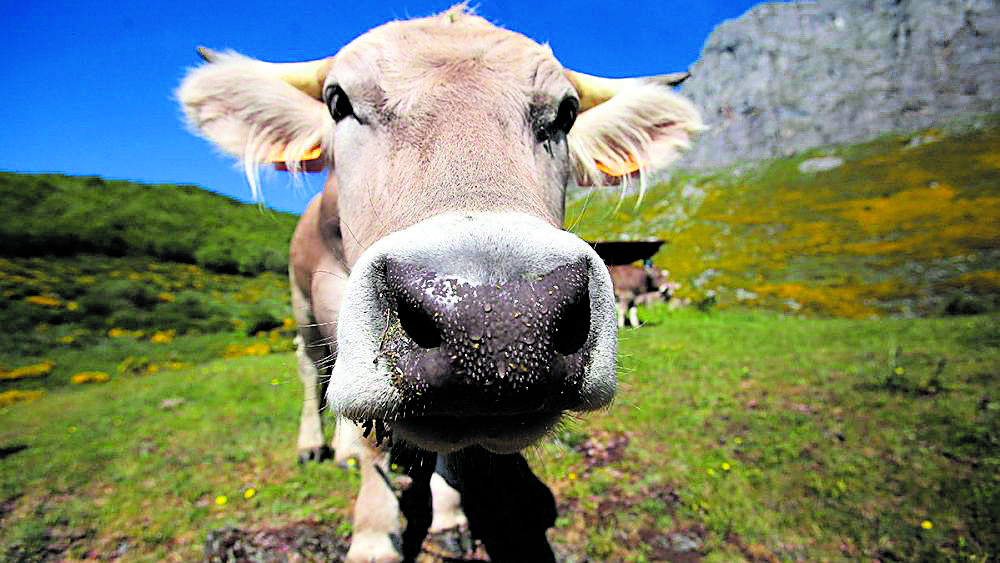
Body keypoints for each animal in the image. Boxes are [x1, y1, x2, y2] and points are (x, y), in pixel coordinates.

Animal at [176, 5, 700, 563]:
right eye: (338, 102)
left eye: (566, 114)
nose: (497, 320)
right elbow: (371, 438)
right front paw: (373, 535)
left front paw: (449, 515)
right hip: (304, 309)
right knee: (311, 370)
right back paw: (317, 444)